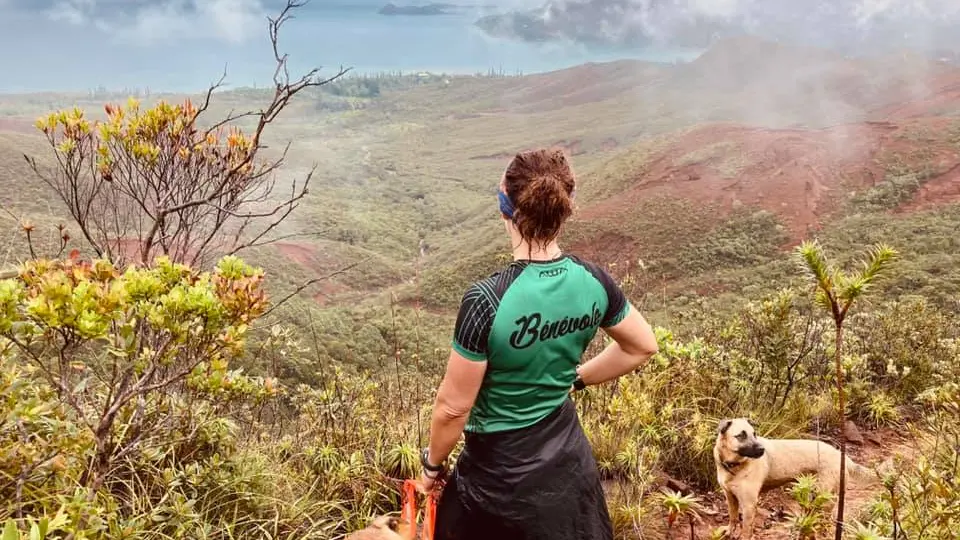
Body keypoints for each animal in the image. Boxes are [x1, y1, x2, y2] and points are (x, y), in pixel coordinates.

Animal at [712, 418, 876, 540]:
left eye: (754, 434)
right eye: (741, 435)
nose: (762, 449)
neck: (733, 466)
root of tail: (843, 457)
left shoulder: (749, 504)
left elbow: (746, 530)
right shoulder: (730, 496)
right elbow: (733, 517)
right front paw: (729, 531)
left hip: (824, 500)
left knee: (825, 522)